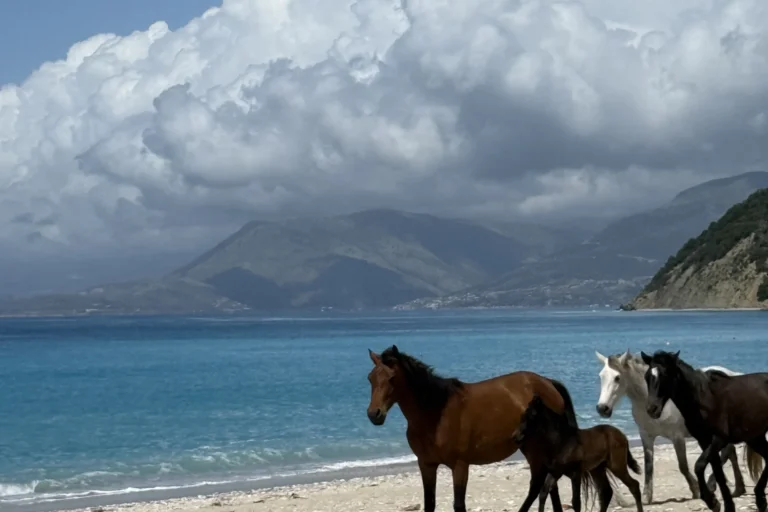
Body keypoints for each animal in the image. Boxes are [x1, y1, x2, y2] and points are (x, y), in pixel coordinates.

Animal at [366, 345, 581, 512]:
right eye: (371, 378)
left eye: (392, 378)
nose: (374, 414)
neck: (436, 413)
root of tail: (548, 382)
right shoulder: (426, 465)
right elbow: (430, 504)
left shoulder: (460, 466)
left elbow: (459, 505)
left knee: (539, 485)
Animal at [512, 394, 644, 512]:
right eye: (523, 415)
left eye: (531, 415)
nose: (515, 437)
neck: (562, 441)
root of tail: (623, 436)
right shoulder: (555, 472)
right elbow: (543, 493)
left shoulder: (575, 473)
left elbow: (576, 502)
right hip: (597, 469)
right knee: (606, 492)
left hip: (616, 465)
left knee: (634, 485)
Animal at [595, 350, 749, 504]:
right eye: (601, 376)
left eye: (617, 377)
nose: (602, 408)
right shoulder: (646, 436)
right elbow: (648, 466)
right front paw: (646, 496)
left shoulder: (677, 437)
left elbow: (683, 466)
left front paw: (696, 490)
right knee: (730, 451)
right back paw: (737, 488)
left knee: (726, 452)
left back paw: (716, 485)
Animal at [642, 350, 768, 512]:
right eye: (647, 376)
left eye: (665, 375)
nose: (652, 409)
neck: (704, 400)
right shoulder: (704, 440)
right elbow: (717, 472)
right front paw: (724, 505)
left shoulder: (719, 439)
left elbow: (699, 466)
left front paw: (711, 500)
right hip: (755, 437)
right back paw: (760, 499)